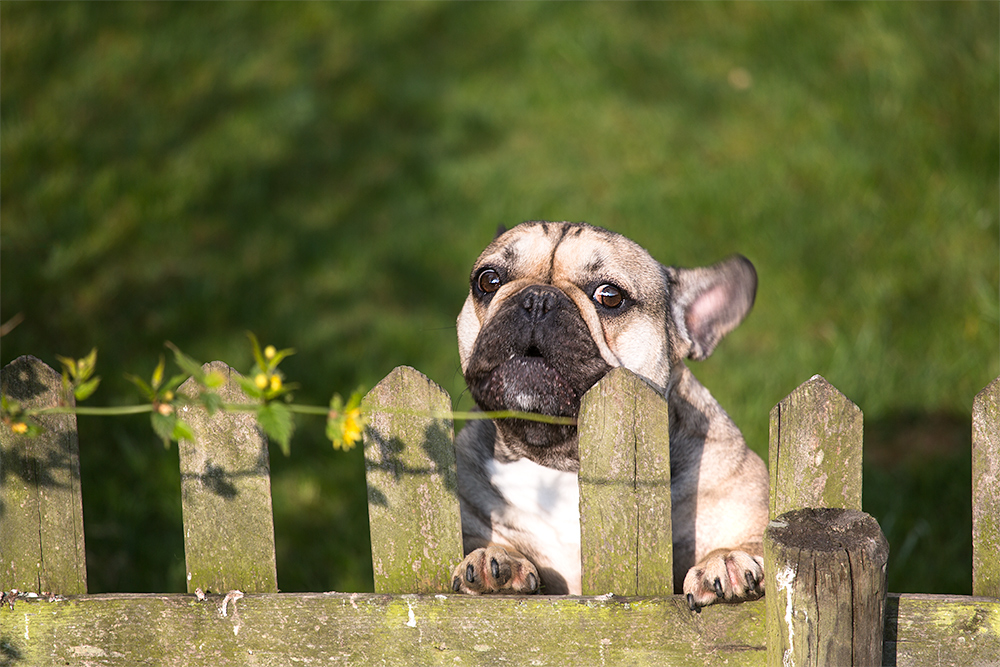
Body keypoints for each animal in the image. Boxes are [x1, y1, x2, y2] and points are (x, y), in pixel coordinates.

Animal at [450, 222, 768, 608]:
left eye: (610, 296)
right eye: (488, 280)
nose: (537, 298)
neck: (563, 462)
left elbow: (756, 542)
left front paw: (724, 560)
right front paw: (495, 559)